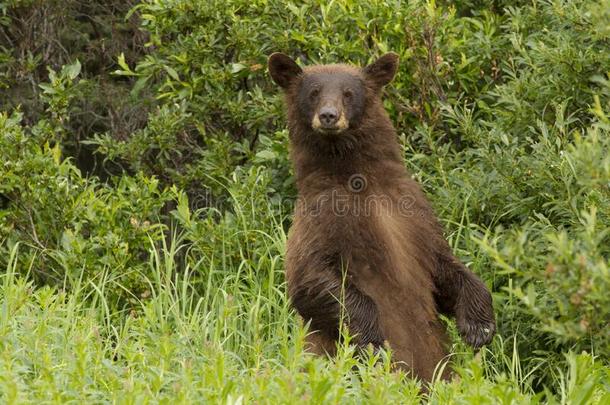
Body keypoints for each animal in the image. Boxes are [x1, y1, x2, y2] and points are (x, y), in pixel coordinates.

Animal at [268, 51, 494, 382]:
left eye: (348, 93)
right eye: (313, 92)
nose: (328, 116)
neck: (358, 178)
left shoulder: (413, 211)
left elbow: (442, 264)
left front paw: (480, 326)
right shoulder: (320, 216)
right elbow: (310, 278)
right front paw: (372, 340)